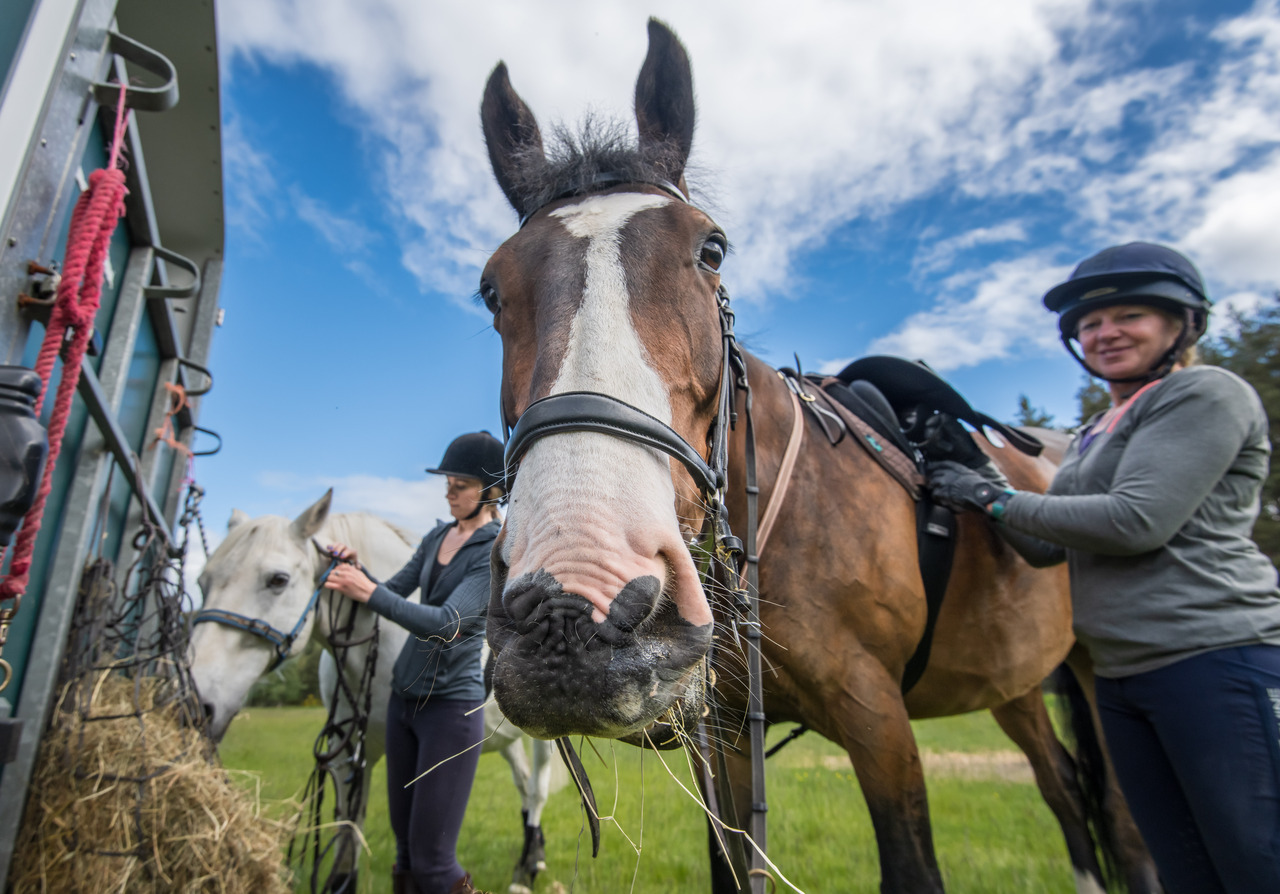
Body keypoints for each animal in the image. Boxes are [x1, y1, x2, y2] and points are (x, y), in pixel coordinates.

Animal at [188, 491, 556, 894]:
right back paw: (535, 857)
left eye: (278, 579)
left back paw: (525, 872)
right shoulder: (349, 754)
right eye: (203, 581)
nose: (197, 702)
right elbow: (347, 832)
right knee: (522, 783)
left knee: (537, 788)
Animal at [475, 19, 1159, 894]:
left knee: (1122, 820)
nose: (570, 612)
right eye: (492, 289)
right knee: (1064, 787)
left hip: (1101, 675)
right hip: (1016, 685)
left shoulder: (881, 722)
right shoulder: (725, 739)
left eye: (712, 251)